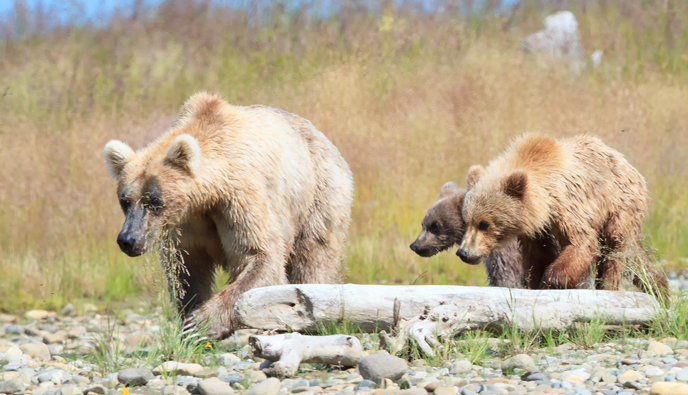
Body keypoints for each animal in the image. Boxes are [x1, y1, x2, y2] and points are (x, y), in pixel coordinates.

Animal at [105, 91, 352, 338]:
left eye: (155, 201)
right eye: (125, 201)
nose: (128, 240)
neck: (207, 197)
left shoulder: (239, 201)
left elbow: (261, 256)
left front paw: (202, 322)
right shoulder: (185, 224)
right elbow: (187, 270)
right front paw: (188, 319)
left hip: (318, 194)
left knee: (313, 256)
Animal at [456, 134, 668, 296]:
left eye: (484, 223)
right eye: (466, 221)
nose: (463, 253)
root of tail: (630, 167)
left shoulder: (568, 207)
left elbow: (581, 243)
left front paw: (549, 282)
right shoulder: (537, 229)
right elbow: (539, 256)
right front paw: (536, 283)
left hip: (620, 205)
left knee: (615, 246)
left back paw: (608, 287)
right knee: (634, 257)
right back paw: (660, 287)